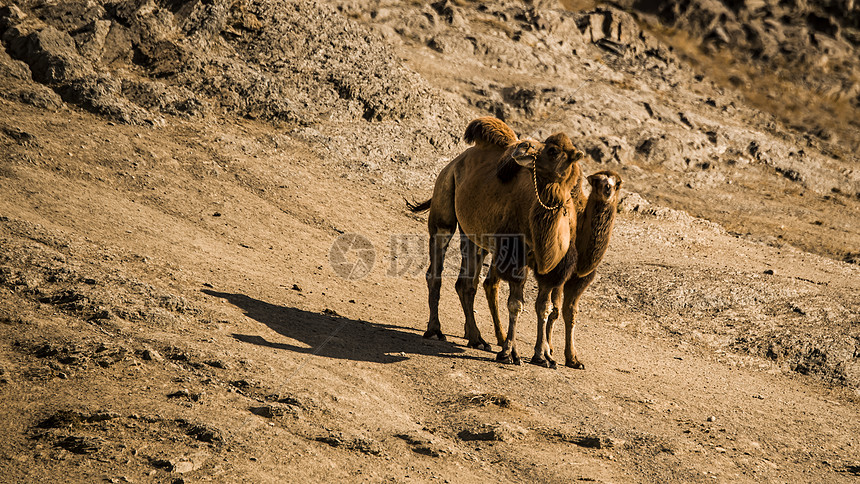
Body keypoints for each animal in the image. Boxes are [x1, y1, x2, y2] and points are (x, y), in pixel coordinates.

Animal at [408, 116, 588, 364]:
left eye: (552, 151)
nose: (523, 147)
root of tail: (455, 161)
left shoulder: (551, 270)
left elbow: (543, 307)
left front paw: (543, 356)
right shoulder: (516, 256)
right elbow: (515, 304)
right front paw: (509, 353)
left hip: (473, 235)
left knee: (466, 283)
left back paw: (477, 339)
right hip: (443, 211)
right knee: (436, 271)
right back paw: (435, 330)